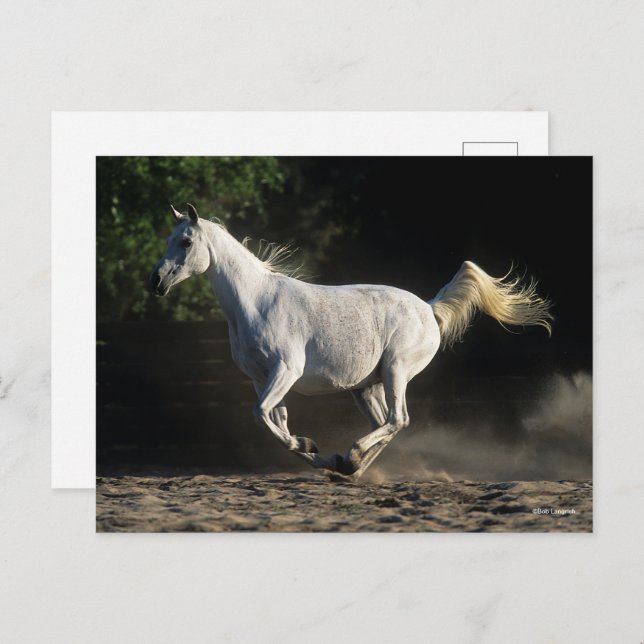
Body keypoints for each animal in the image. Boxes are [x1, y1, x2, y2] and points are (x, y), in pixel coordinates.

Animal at [149, 203, 553, 480]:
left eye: (185, 241)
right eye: (168, 239)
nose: (156, 282)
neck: (257, 301)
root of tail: (428, 307)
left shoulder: (286, 370)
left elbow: (263, 415)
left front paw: (311, 447)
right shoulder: (260, 377)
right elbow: (277, 421)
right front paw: (319, 453)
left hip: (395, 370)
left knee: (398, 419)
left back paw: (354, 457)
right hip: (365, 388)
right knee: (387, 423)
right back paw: (350, 466)